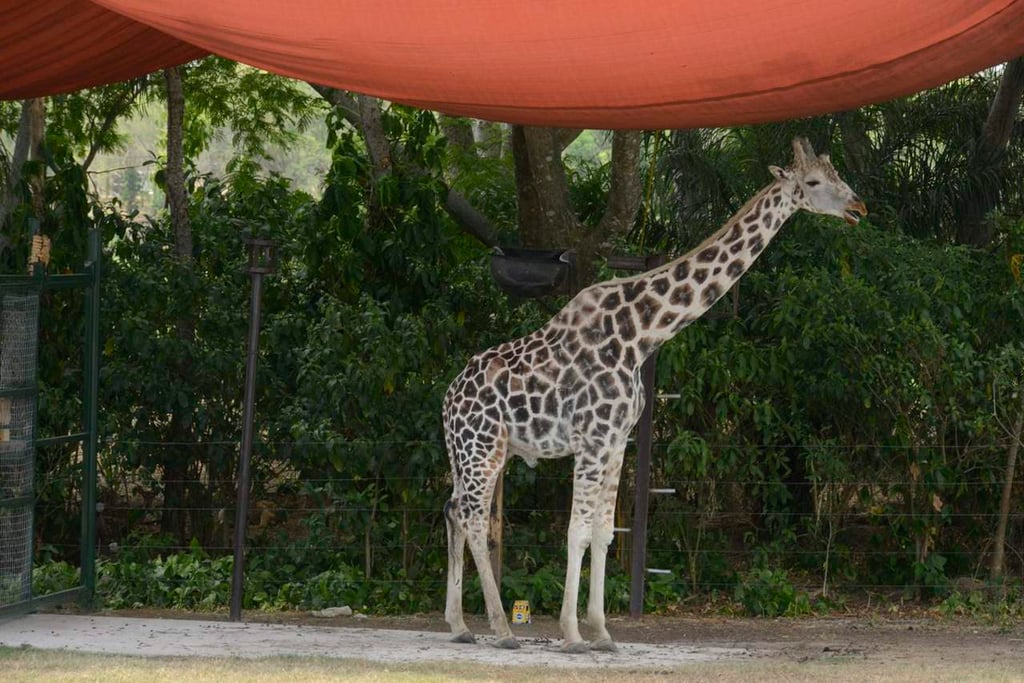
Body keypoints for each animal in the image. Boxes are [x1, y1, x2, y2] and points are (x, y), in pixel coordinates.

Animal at [442, 137, 866, 652]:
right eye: (814, 182)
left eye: (837, 175)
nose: (859, 207)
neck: (642, 335)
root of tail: (447, 399)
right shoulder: (592, 439)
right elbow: (576, 531)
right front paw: (572, 634)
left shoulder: (617, 441)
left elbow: (603, 532)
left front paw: (602, 632)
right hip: (482, 449)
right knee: (475, 518)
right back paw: (502, 630)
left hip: (475, 452)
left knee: (453, 510)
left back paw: (460, 625)